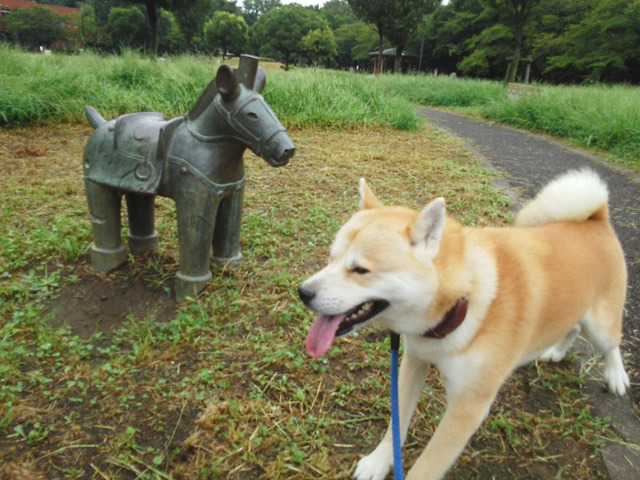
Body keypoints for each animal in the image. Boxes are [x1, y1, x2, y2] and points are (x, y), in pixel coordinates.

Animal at [298, 170, 632, 480]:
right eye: (331, 259)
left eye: (360, 270)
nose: (303, 292)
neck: (462, 300)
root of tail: (597, 218)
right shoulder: (414, 362)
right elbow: (397, 423)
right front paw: (378, 462)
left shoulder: (468, 407)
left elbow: (429, 465)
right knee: (572, 328)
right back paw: (557, 351)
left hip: (601, 327)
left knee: (611, 344)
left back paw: (616, 376)